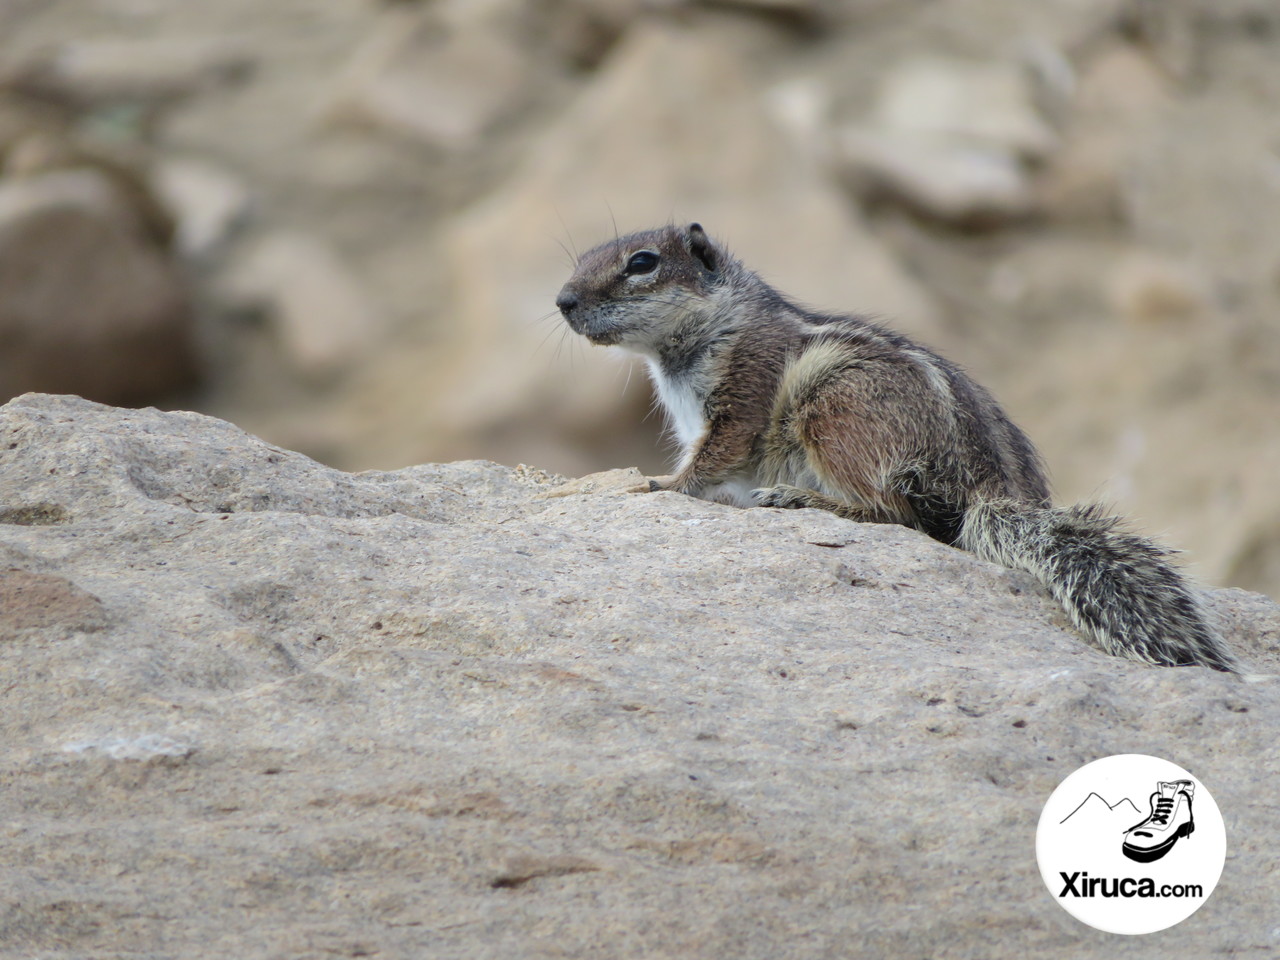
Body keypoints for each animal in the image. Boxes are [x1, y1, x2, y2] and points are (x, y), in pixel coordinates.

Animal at [558, 224, 1239, 675]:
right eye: (584, 255)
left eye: (642, 262)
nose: (563, 301)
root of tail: (987, 492)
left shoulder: (743, 395)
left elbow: (713, 456)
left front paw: (659, 484)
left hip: (833, 410)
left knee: (896, 513)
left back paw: (802, 499)